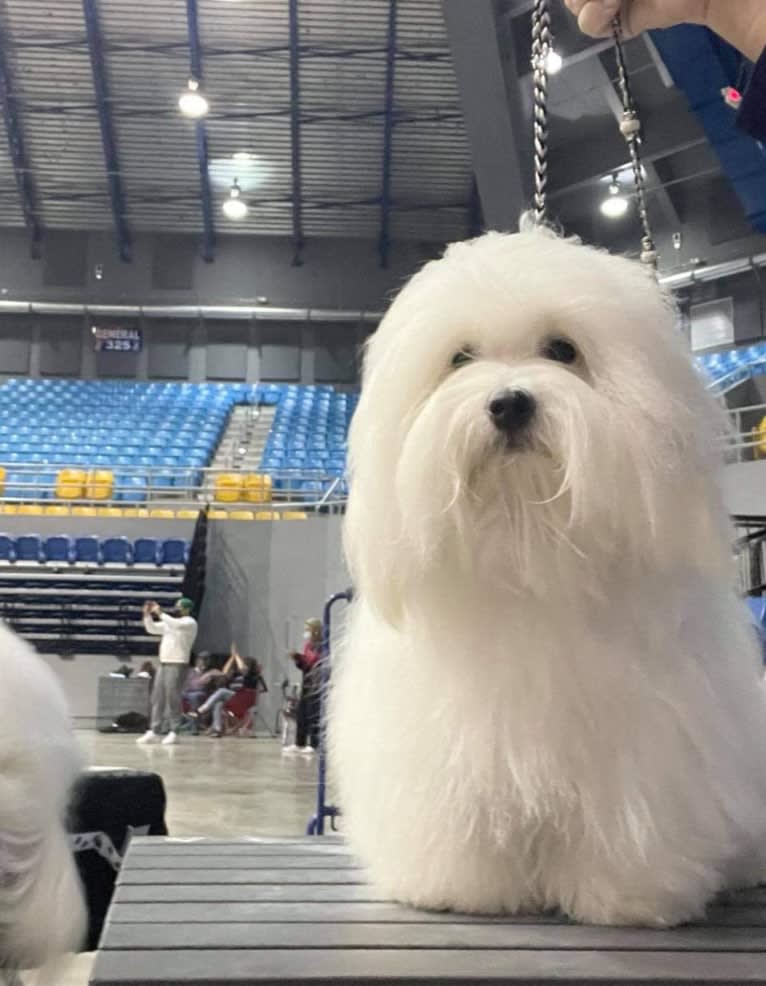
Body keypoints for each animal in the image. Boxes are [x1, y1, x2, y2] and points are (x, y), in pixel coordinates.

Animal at [332, 227, 766, 928]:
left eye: (563, 350)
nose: (509, 402)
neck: (528, 552)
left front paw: (629, 898)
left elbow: (629, 823)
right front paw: (461, 889)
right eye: (460, 358)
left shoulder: (642, 750)